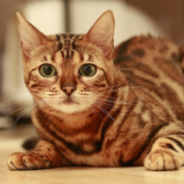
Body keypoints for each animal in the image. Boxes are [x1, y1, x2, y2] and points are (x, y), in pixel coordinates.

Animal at [6, 10, 184, 171]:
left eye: (88, 70)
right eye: (47, 70)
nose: (68, 88)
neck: (78, 131)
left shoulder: (173, 127)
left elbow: (169, 140)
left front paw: (162, 154)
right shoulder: (47, 139)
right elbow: (45, 145)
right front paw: (29, 154)